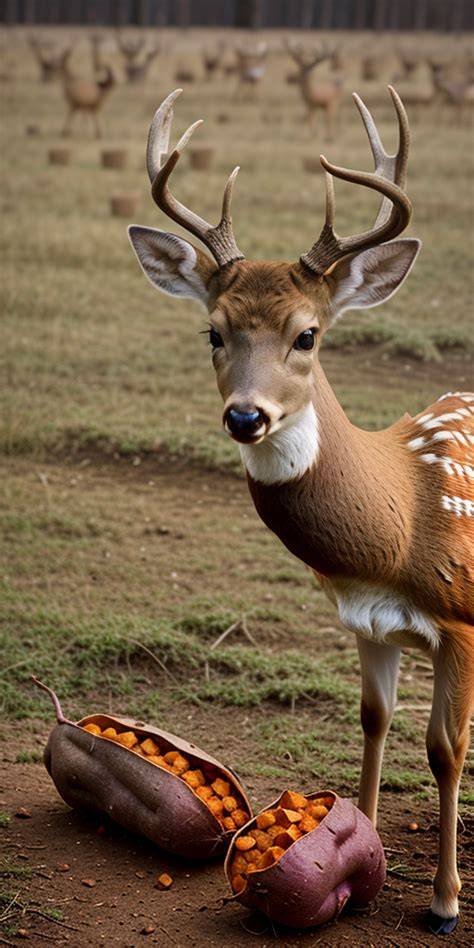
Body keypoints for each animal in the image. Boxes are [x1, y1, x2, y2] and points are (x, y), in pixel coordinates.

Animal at [128, 88, 473, 936]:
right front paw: (362, 841)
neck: (398, 528)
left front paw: (445, 903)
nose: (246, 416)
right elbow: (373, 719)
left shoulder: (460, 618)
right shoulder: (367, 623)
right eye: (213, 331)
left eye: (308, 334)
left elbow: (444, 748)